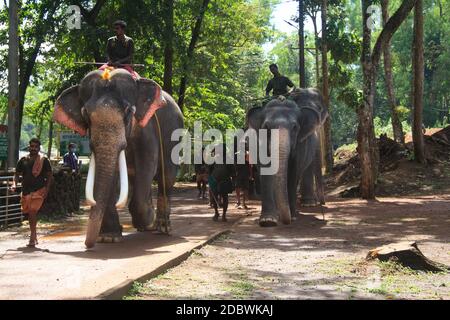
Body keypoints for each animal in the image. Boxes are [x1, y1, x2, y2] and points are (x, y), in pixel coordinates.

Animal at [54, 69, 183, 249]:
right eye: (85, 114)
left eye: (128, 111)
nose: (88, 244)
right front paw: (109, 238)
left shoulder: (146, 130)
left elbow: (147, 163)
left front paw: (148, 219)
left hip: (174, 136)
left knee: (166, 177)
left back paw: (161, 227)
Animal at [246, 88, 326, 228]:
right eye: (266, 127)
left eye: (295, 127)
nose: (287, 220)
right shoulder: (258, 141)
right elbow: (266, 169)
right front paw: (268, 221)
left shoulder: (301, 143)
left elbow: (294, 172)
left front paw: (292, 216)